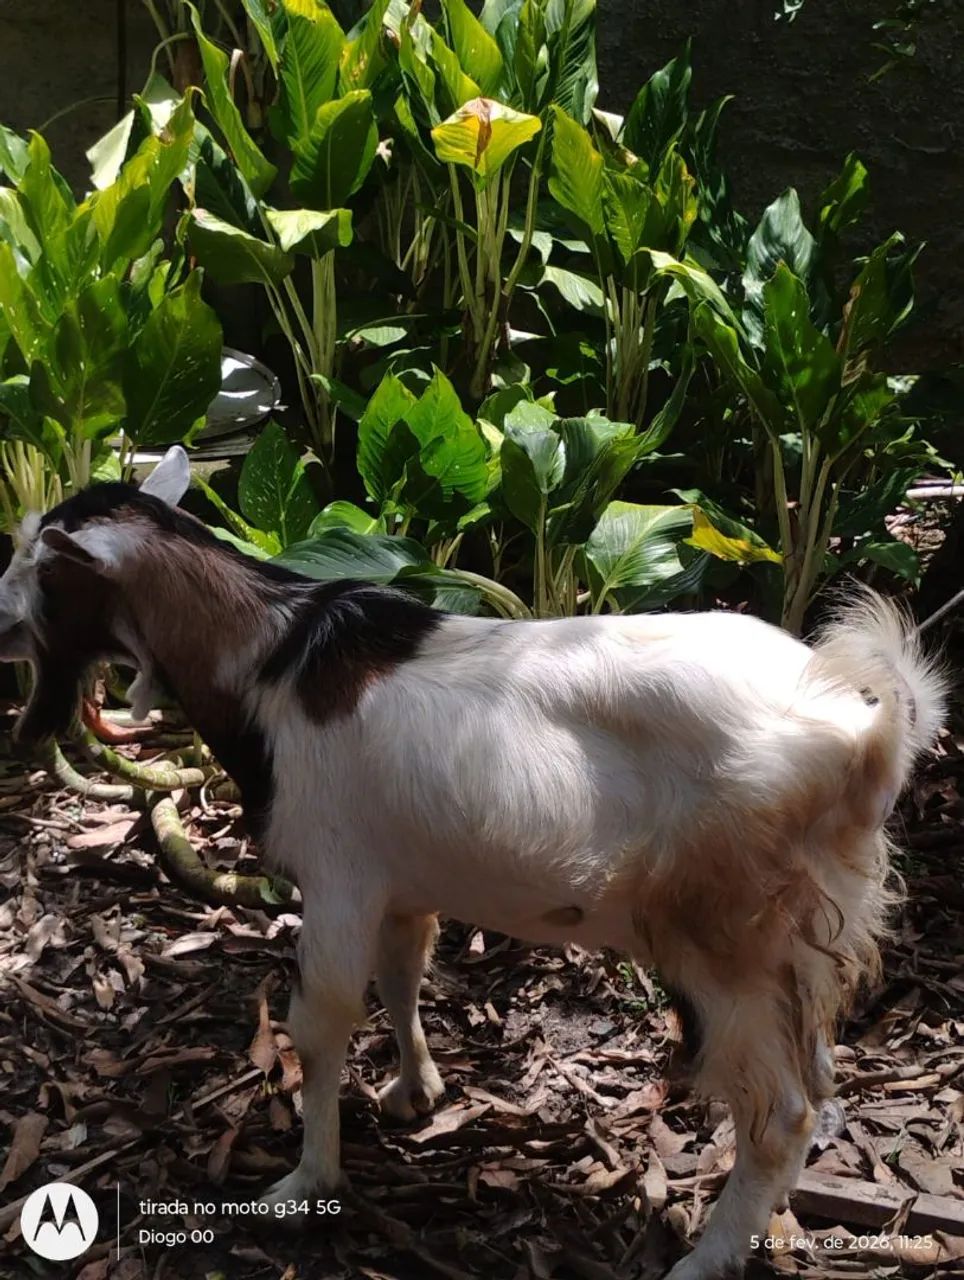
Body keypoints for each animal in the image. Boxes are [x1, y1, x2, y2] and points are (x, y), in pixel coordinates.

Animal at [0, 447, 946, 1279]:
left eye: (38, 565)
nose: (2, 622)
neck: (272, 659)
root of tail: (865, 734)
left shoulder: (337, 876)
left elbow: (322, 1016)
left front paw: (305, 1183)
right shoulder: (399, 881)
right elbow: (402, 973)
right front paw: (415, 1092)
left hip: (724, 934)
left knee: (781, 1109)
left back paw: (705, 1258)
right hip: (803, 932)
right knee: (818, 1075)